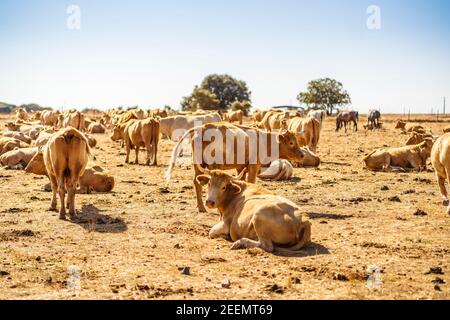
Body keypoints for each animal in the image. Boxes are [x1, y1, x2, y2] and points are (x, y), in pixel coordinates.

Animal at [165, 122, 306, 212]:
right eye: (291, 142)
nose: (302, 155)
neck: (264, 141)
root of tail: (203, 127)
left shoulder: (240, 167)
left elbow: (242, 182)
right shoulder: (254, 166)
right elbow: (251, 181)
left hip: (198, 164)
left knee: (196, 181)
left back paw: (201, 207)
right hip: (214, 164)